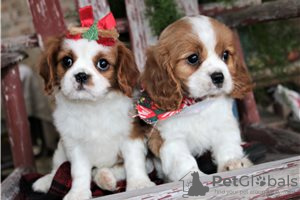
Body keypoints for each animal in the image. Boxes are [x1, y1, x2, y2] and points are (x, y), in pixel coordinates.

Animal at [32, 5, 155, 198]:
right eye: (67, 61)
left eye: (103, 64)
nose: (81, 75)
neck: (92, 105)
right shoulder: (74, 145)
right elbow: (78, 171)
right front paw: (78, 193)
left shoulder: (131, 136)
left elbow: (133, 163)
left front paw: (139, 184)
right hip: (60, 149)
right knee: (58, 167)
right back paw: (46, 181)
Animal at [138, 15, 253, 181]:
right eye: (193, 58)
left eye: (225, 55)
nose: (219, 77)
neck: (196, 104)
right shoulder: (171, 139)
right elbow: (184, 161)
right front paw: (194, 176)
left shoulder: (224, 124)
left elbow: (227, 144)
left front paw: (232, 162)